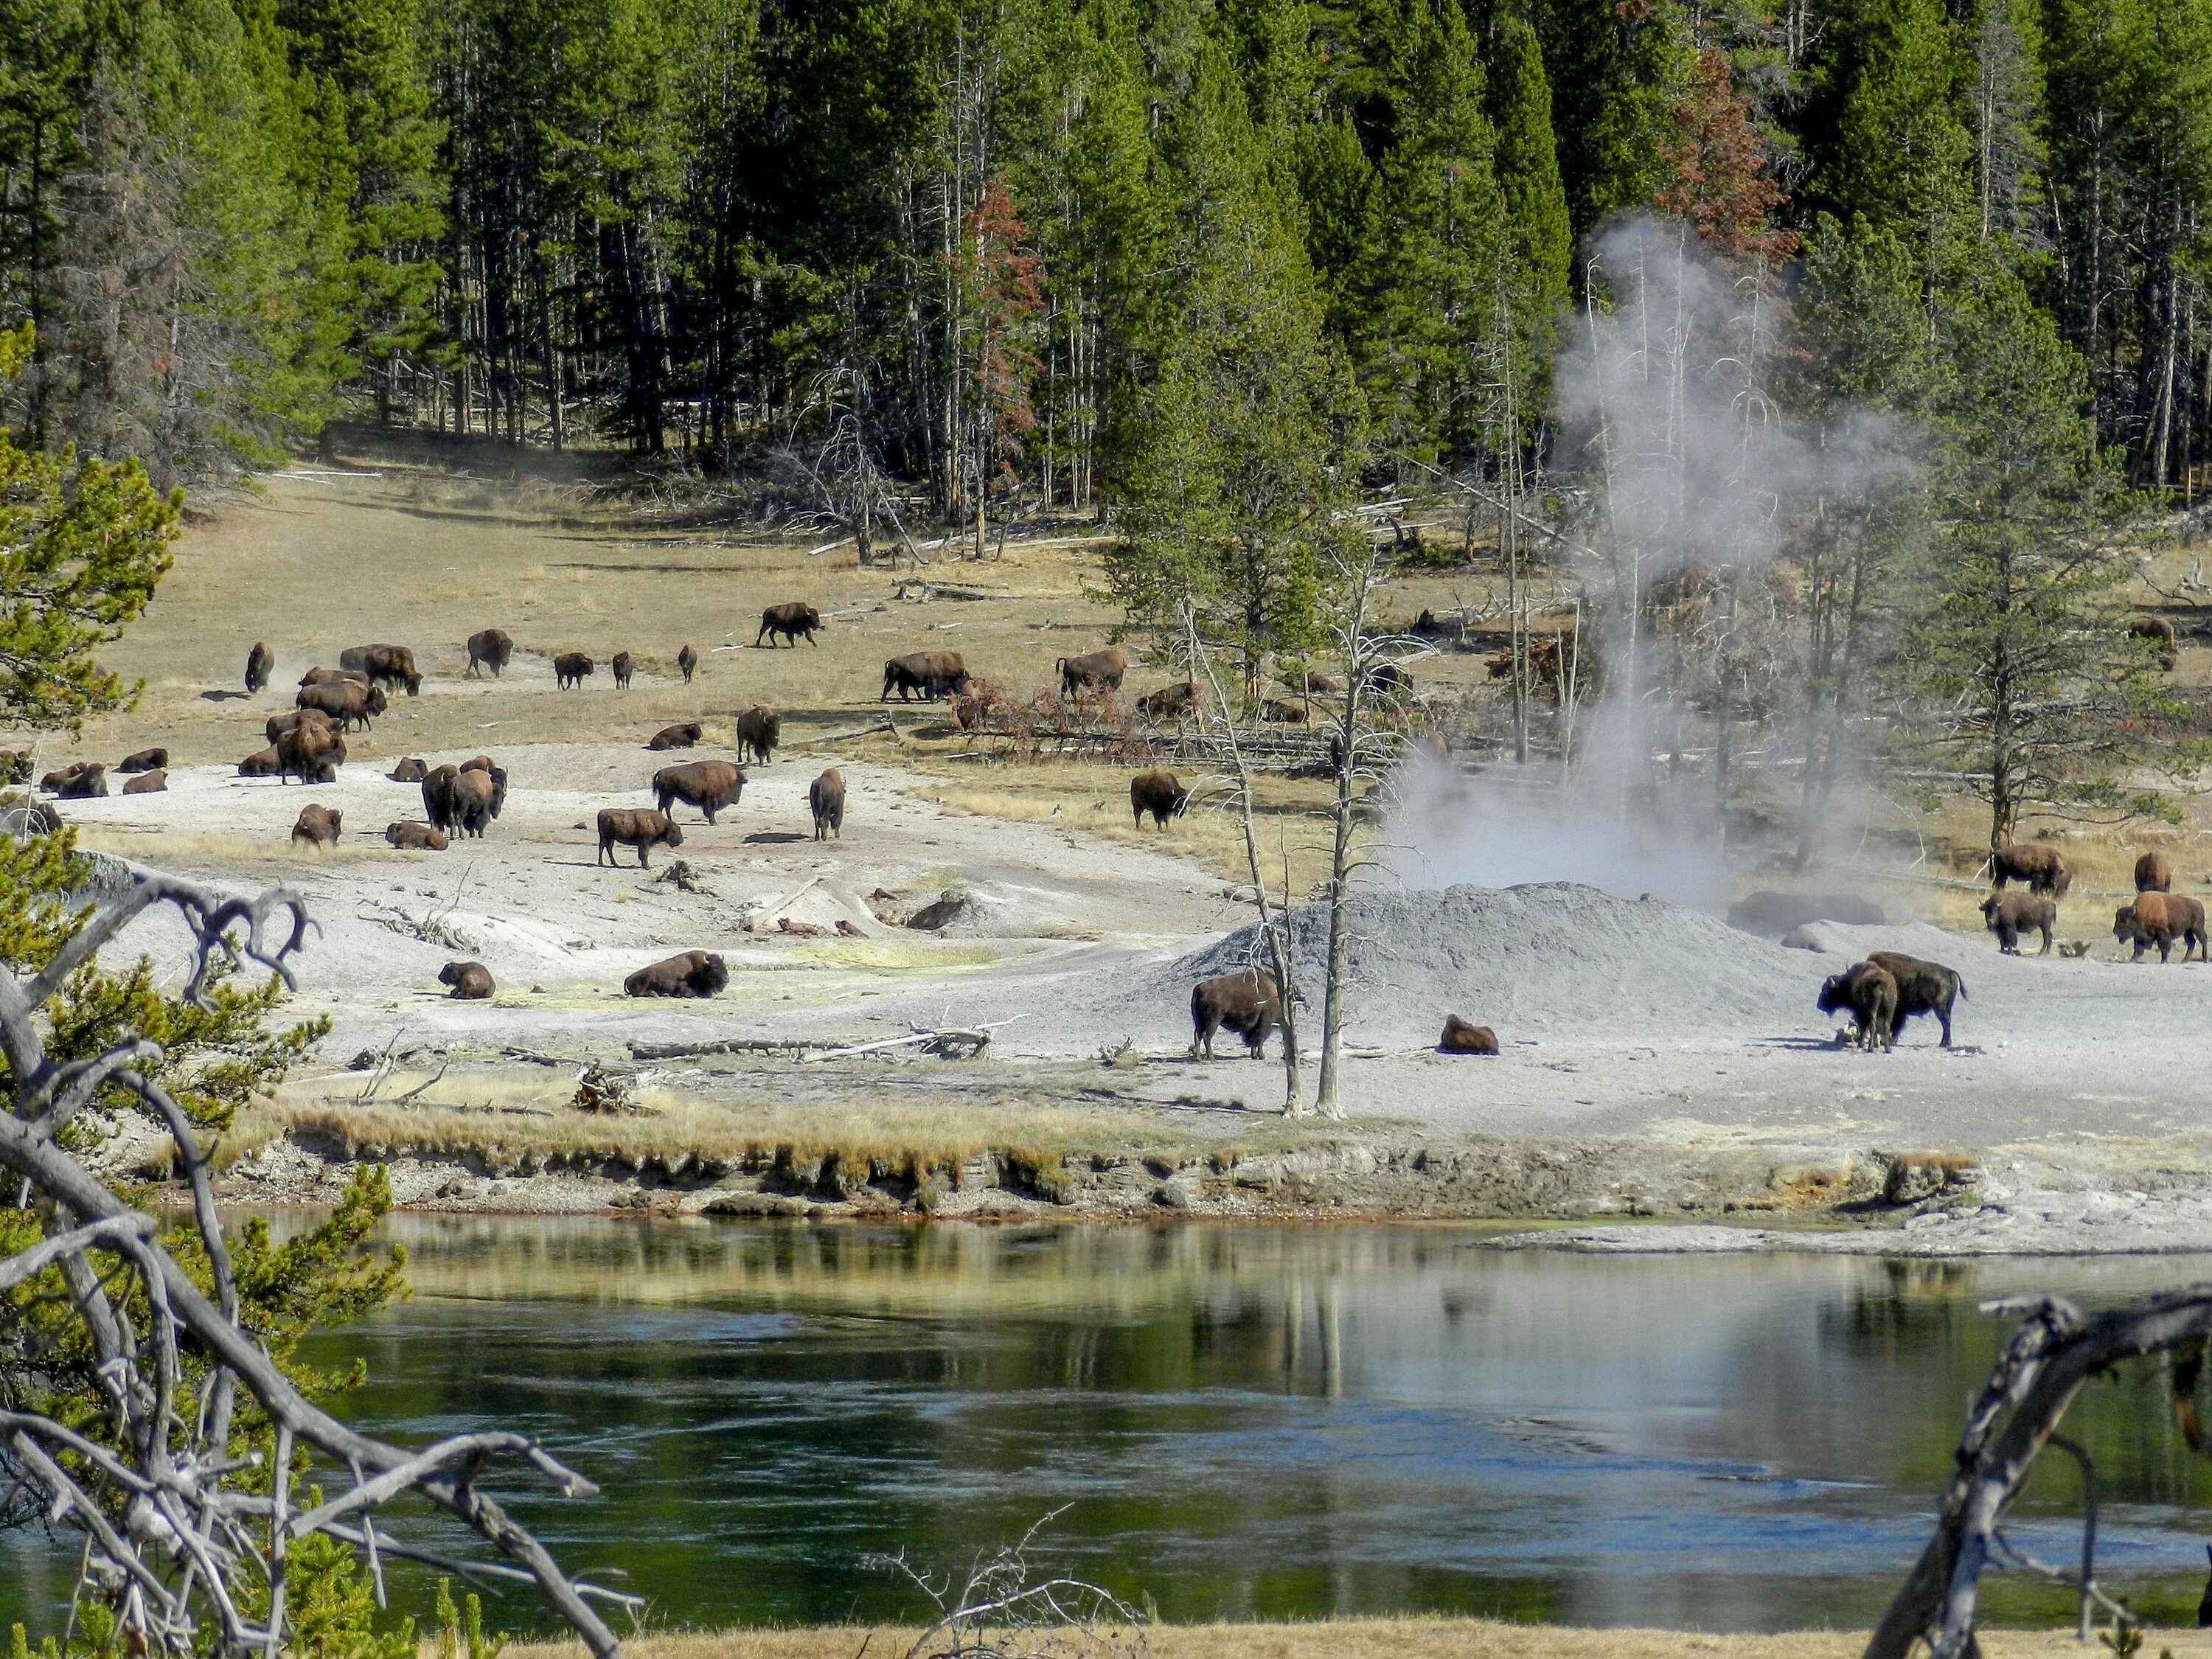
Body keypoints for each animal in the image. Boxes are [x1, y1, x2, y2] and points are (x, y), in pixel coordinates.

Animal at [628, 947, 730, 1000]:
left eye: (724, 966)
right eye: (715, 968)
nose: (727, 979)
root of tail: (629, 977)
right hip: (647, 979)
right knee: (639, 993)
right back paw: (655, 994)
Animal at [650, 761, 748, 827]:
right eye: (739, 785)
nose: (737, 800)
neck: (728, 780)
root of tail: (661, 772)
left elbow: (711, 812)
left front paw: (713, 822)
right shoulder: (712, 800)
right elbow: (710, 812)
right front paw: (714, 823)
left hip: (671, 796)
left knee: (666, 807)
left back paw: (670, 820)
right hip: (667, 795)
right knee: (662, 806)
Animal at [1186, 973, 1292, 1066]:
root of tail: (1199, 989)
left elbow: (1253, 1040)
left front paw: (1254, 1055)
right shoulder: (1265, 1023)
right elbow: (1260, 1039)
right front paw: (1261, 1056)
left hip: (1200, 1021)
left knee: (1198, 1035)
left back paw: (1199, 1058)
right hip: (1214, 1020)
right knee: (1206, 1036)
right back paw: (1212, 1058)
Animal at [1867, 956, 1973, 1044]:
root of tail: (1948, 971)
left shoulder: (1899, 1011)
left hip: (1939, 1008)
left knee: (1946, 1022)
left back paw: (1944, 1044)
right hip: (1947, 1007)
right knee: (1947, 1022)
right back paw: (1945, 1043)